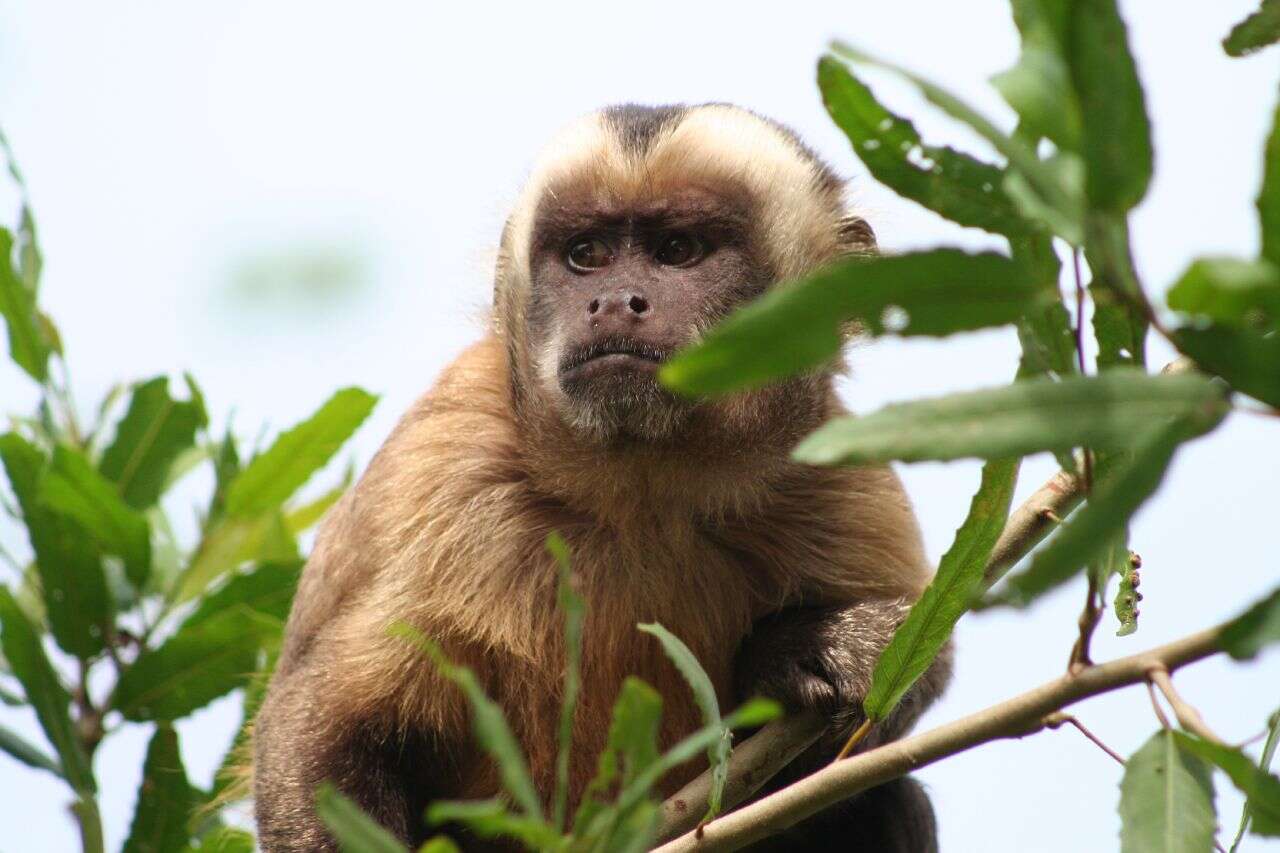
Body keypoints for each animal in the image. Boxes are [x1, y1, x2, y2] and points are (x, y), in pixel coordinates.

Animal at [252, 103, 952, 845]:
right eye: (586, 255)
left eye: (679, 249)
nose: (616, 300)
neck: (645, 494)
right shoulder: (445, 462)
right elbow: (316, 734)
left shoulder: (835, 468)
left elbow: (915, 670)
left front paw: (815, 648)